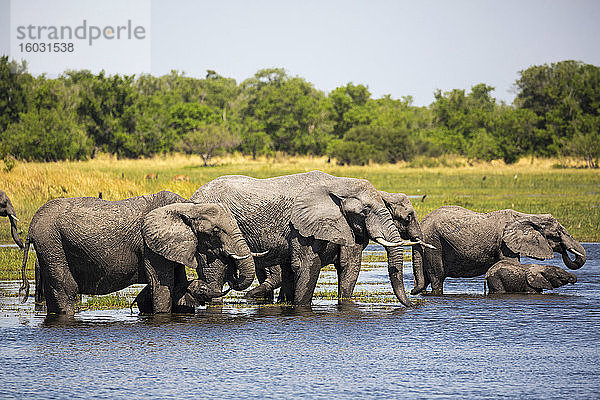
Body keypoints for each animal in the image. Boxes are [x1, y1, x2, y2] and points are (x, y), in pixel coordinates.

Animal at [19, 191, 254, 316]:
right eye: (215, 231)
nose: (231, 268)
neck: (189, 207)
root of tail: (31, 227)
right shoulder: (151, 246)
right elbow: (162, 288)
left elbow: (178, 284)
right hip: (52, 244)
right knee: (66, 290)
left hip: (49, 248)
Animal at [192, 170, 418, 306]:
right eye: (364, 211)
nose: (411, 304)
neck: (337, 183)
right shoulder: (301, 227)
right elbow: (307, 265)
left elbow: (347, 267)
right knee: (215, 275)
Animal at [412, 206, 584, 294]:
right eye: (557, 234)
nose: (565, 250)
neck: (526, 216)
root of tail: (423, 222)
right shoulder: (504, 243)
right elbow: (512, 263)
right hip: (433, 243)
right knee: (437, 278)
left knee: (426, 279)